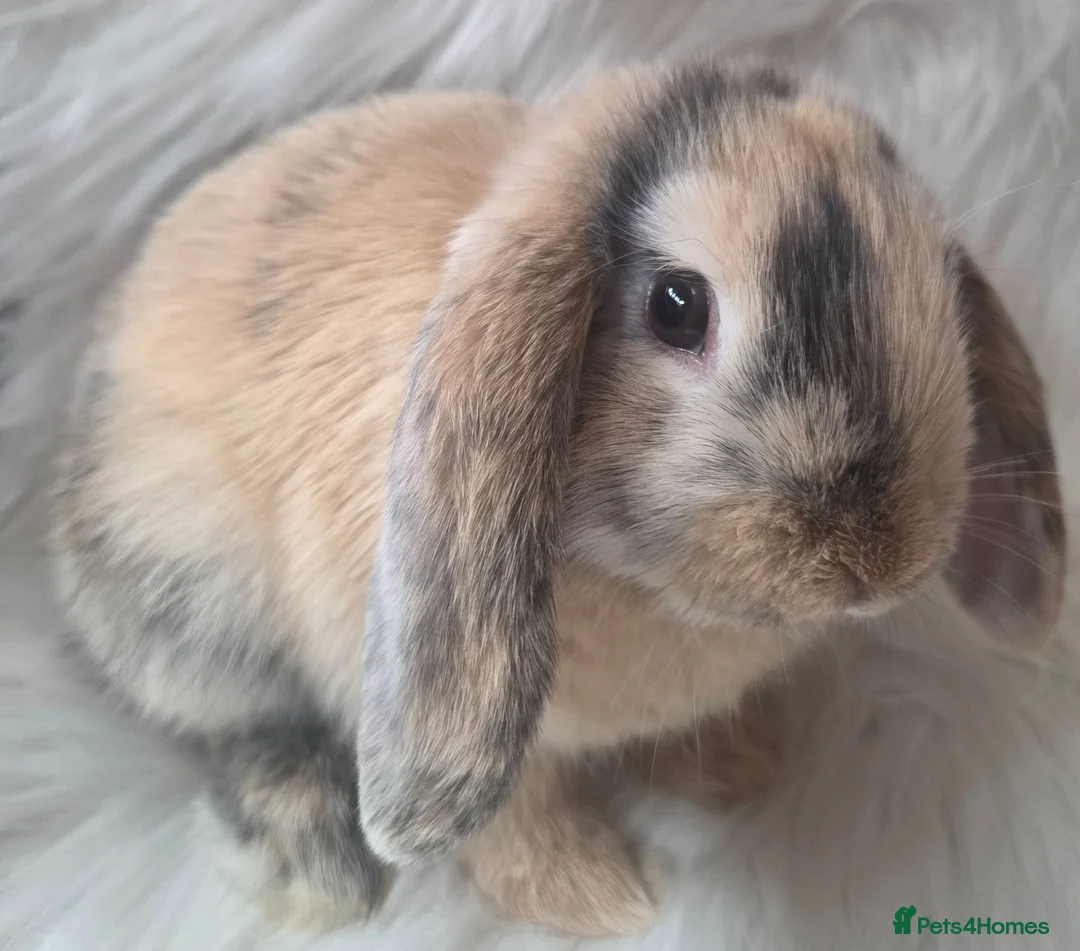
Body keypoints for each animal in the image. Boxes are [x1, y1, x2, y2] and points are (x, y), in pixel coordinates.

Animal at [49, 58, 1066, 937]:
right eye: (677, 305)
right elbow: (512, 825)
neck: (647, 588)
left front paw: (741, 764)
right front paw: (600, 898)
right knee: (232, 724)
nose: (877, 563)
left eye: (935, 279)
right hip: (192, 605)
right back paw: (318, 859)